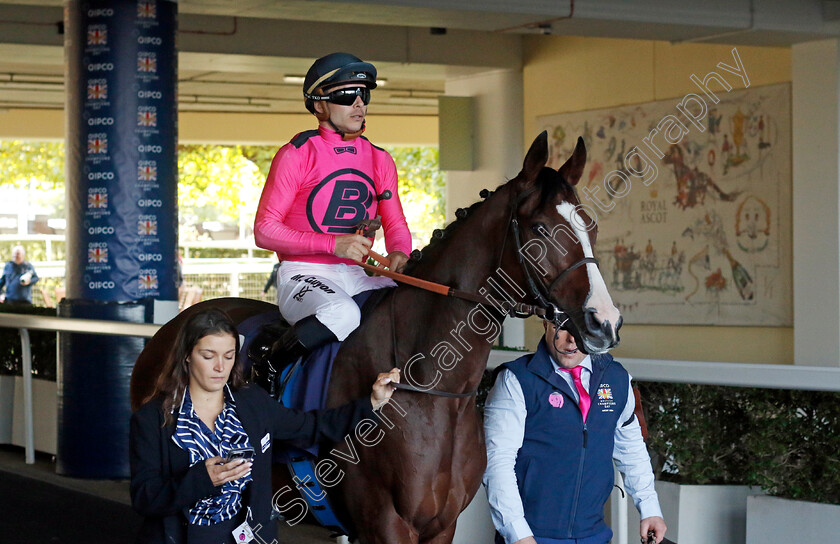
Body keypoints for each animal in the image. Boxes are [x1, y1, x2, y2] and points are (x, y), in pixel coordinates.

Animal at [128, 132, 620, 544]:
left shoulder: (442, 526)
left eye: (592, 227)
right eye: (540, 229)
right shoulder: (385, 526)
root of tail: (171, 327)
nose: (605, 322)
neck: (431, 390)